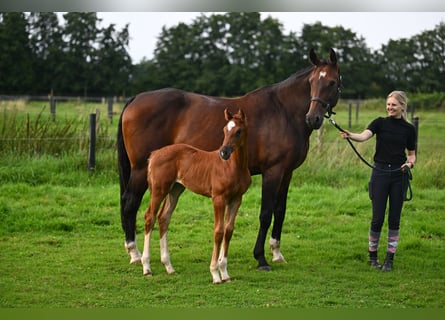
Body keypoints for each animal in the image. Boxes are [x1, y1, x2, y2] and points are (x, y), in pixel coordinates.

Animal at [141, 109, 250, 284]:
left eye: (238, 131)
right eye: (224, 130)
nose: (224, 152)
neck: (233, 167)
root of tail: (154, 154)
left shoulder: (236, 199)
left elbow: (228, 231)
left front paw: (225, 273)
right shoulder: (218, 198)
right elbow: (218, 231)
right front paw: (215, 274)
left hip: (175, 190)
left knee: (164, 218)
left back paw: (169, 267)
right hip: (159, 190)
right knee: (149, 217)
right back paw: (146, 268)